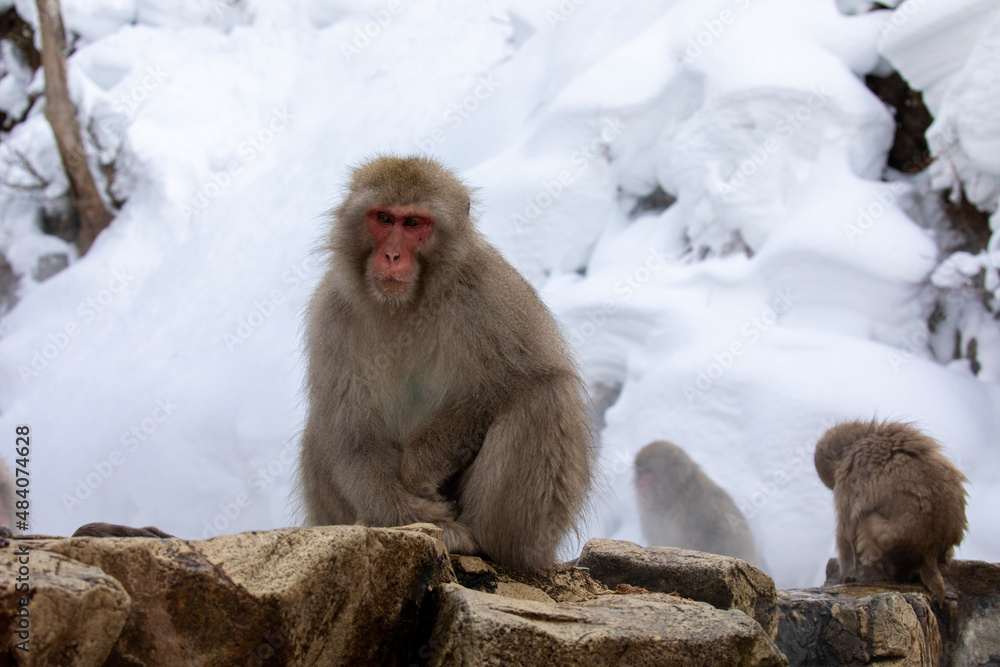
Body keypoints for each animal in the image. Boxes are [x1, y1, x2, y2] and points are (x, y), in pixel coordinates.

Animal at [299, 156, 595, 572]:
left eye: (413, 223)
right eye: (384, 219)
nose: (391, 256)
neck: (406, 306)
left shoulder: (489, 294)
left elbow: (507, 384)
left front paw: (418, 470)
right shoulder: (331, 315)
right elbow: (350, 433)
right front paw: (409, 513)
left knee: (545, 395)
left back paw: (486, 543)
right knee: (319, 430)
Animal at [814, 419, 968, 603]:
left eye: (833, 480)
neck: (866, 435)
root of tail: (930, 553)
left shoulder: (847, 480)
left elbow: (845, 533)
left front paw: (845, 576)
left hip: (889, 546)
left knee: (865, 522)